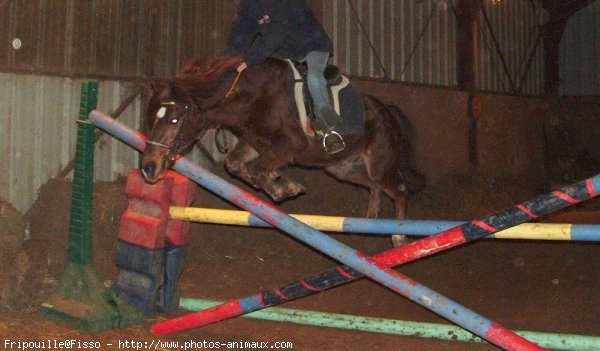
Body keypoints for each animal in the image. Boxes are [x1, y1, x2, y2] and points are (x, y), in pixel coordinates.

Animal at [141, 56, 424, 246]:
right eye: (153, 118)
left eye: (174, 120)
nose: (148, 168)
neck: (252, 97)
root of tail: (388, 111)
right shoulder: (253, 142)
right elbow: (237, 165)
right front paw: (282, 182)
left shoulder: (290, 143)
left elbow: (257, 169)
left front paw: (284, 187)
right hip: (342, 168)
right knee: (373, 187)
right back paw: (371, 221)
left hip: (379, 165)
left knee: (398, 191)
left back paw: (398, 236)